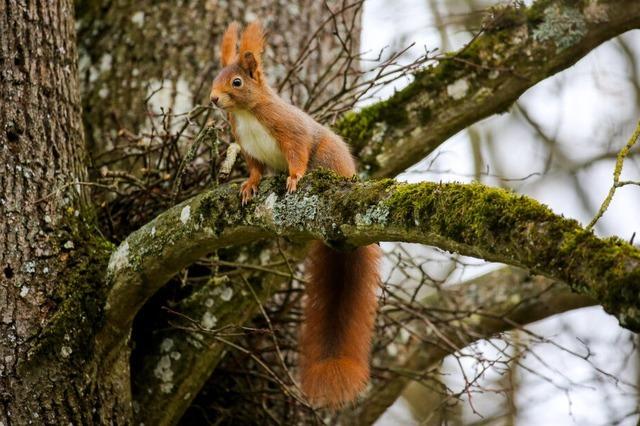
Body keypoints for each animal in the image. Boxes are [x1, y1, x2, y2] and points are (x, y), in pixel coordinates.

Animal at [210, 21, 380, 408]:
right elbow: (255, 169)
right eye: (215, 77)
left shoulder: (290, 131)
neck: (247, 114)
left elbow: (298, 153)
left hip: (330, 156)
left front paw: (294, 178)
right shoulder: (246, 147)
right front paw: (249, 186)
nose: (213, 99)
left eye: (236, 82)